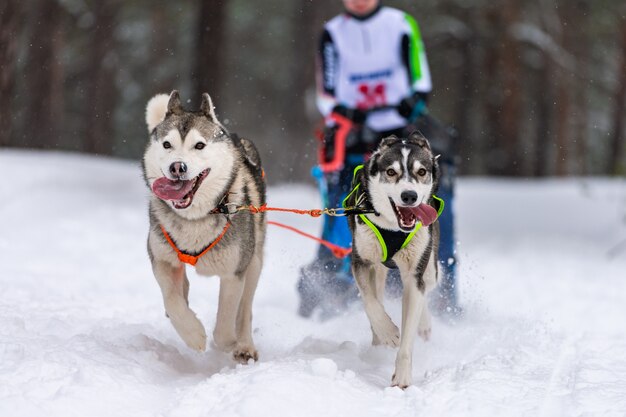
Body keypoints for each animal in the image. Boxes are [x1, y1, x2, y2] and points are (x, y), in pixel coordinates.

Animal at [141, 90, 266, 360]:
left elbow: (226, 323)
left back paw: (244, 345)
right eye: (167, 144)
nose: (177, 167)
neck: (195, 218)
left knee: (245, 309)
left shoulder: (234, 272)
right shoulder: (162, 259)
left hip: (254, 262)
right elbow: (172, 300)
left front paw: (227, 343)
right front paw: (194, 334)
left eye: (199, 145)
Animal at [344, 132, 442, 386]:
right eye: (390, 172)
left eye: (421, 171)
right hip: (377, 266)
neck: (393, 229)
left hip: (430, 268)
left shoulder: (414, 275)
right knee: (377, 294)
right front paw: (387, 332)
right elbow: (370, 302)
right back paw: (378, 340)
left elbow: (408, 335)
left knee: (427, 288)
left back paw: (424, 325)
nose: (409, 195)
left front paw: (402, 377)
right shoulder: (361, 262)